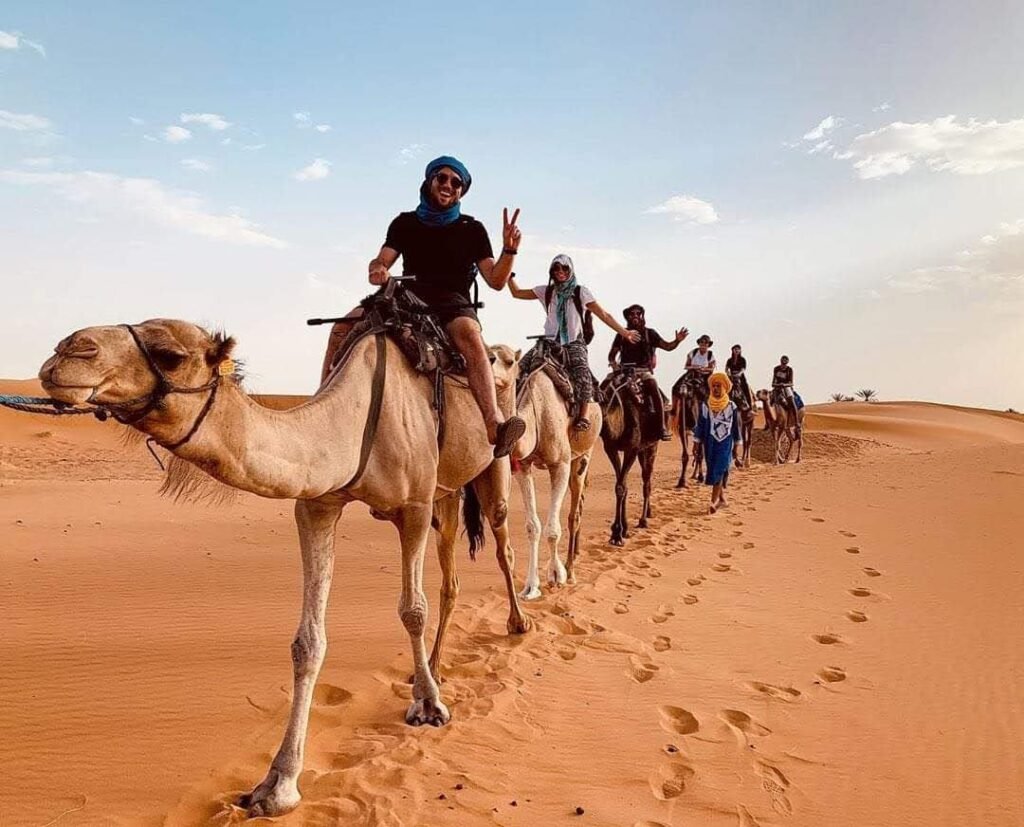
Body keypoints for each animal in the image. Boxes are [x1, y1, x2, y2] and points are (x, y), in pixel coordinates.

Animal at [34, 319, 528, 818]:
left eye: (170, 355)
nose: (68, 350)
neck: (356, 423)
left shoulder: (413, 506)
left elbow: (412, 610)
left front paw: (428, 707)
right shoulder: (318, 504)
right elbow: (308, 642)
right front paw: (277, 785)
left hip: (490, 467)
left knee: (500, 542)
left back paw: (516, 621)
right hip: (447, 496)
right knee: (452, 578)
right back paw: (435, 665)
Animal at [509, 352, 598, 597]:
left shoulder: (560, 465)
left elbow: (553, 529)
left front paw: (557, 575)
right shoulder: (523, 466)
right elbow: (533, 526)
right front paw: (531, 587)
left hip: (583, 455)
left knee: (574, 514)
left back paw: (571, 570)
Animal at [598, 368, 655, 544]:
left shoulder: (632, 448)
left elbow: (621, 487)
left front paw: (617, 534)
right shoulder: (611, 448)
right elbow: (621, 486)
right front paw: (622, 530)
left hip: (651, 446)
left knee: (647, 480)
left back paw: (643, 520)